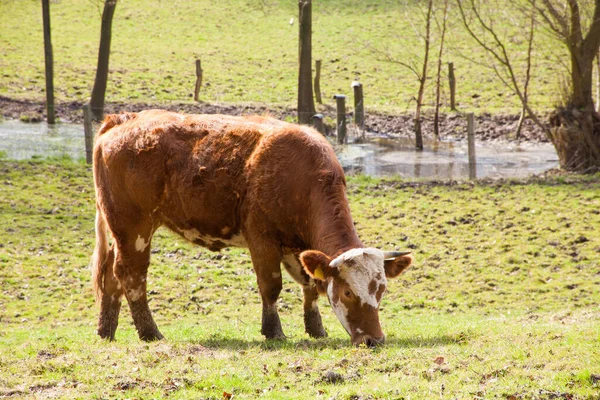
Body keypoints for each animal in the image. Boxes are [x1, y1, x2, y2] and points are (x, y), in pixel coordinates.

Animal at [91, 110, 412, 346]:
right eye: (347, 293)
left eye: (381, 290)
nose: (374, 340)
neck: (302, 177)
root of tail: (122, 119)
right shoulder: (262, 240)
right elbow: (271, 287)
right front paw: (274, 331)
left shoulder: (298, 247)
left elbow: (309, 285)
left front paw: (316, 329)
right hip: (134, 228)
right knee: (131, 275)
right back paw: (150, 333)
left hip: (120, 231)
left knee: (110, 274)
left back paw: (106, 330)